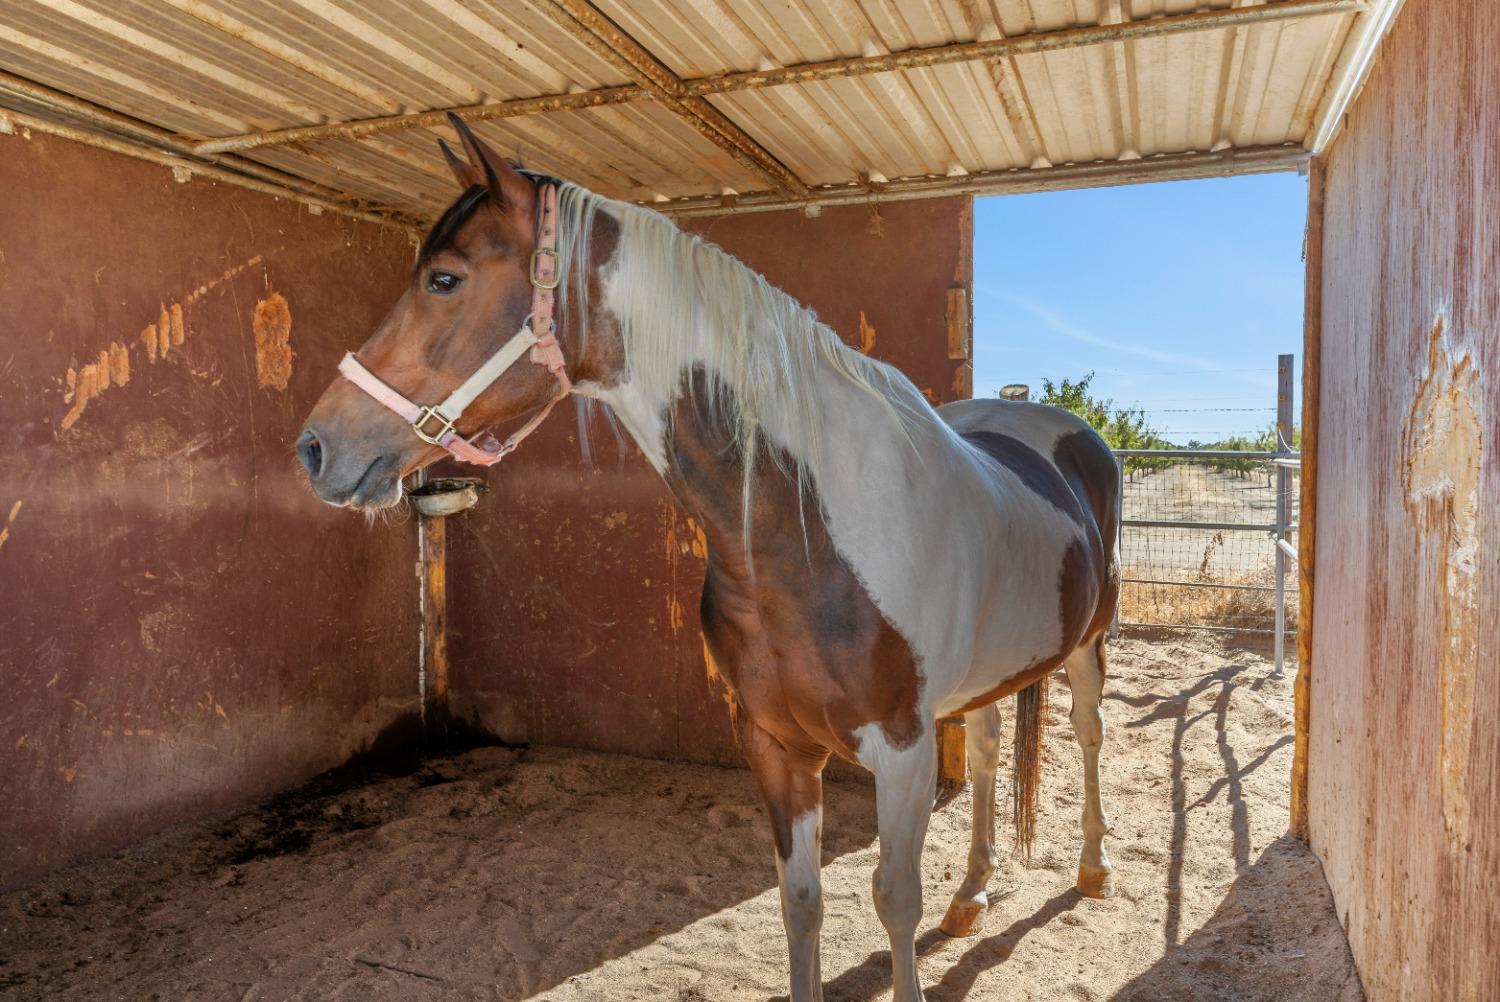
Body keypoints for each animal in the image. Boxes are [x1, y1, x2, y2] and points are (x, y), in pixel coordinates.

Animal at [295, 117, 1116, 1002]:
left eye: (444, 279)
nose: (316, 447)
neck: (805, 533)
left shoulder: (903, 752)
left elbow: (894, 900)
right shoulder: (772, 745)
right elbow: (801, 903)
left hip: (1088, 647)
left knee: (1090, 731)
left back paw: (1093, 869)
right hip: (988, 678)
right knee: (994, 746)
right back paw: (971, 895)